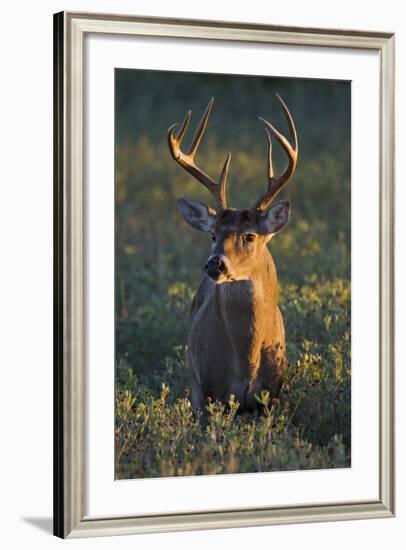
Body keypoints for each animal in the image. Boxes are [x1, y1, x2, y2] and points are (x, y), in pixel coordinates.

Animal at [167, 96, 298, 414]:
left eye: (249, 236)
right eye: (212, 235)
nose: (215, 264)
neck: (245, 362)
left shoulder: (273, 396)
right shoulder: (205, 390)